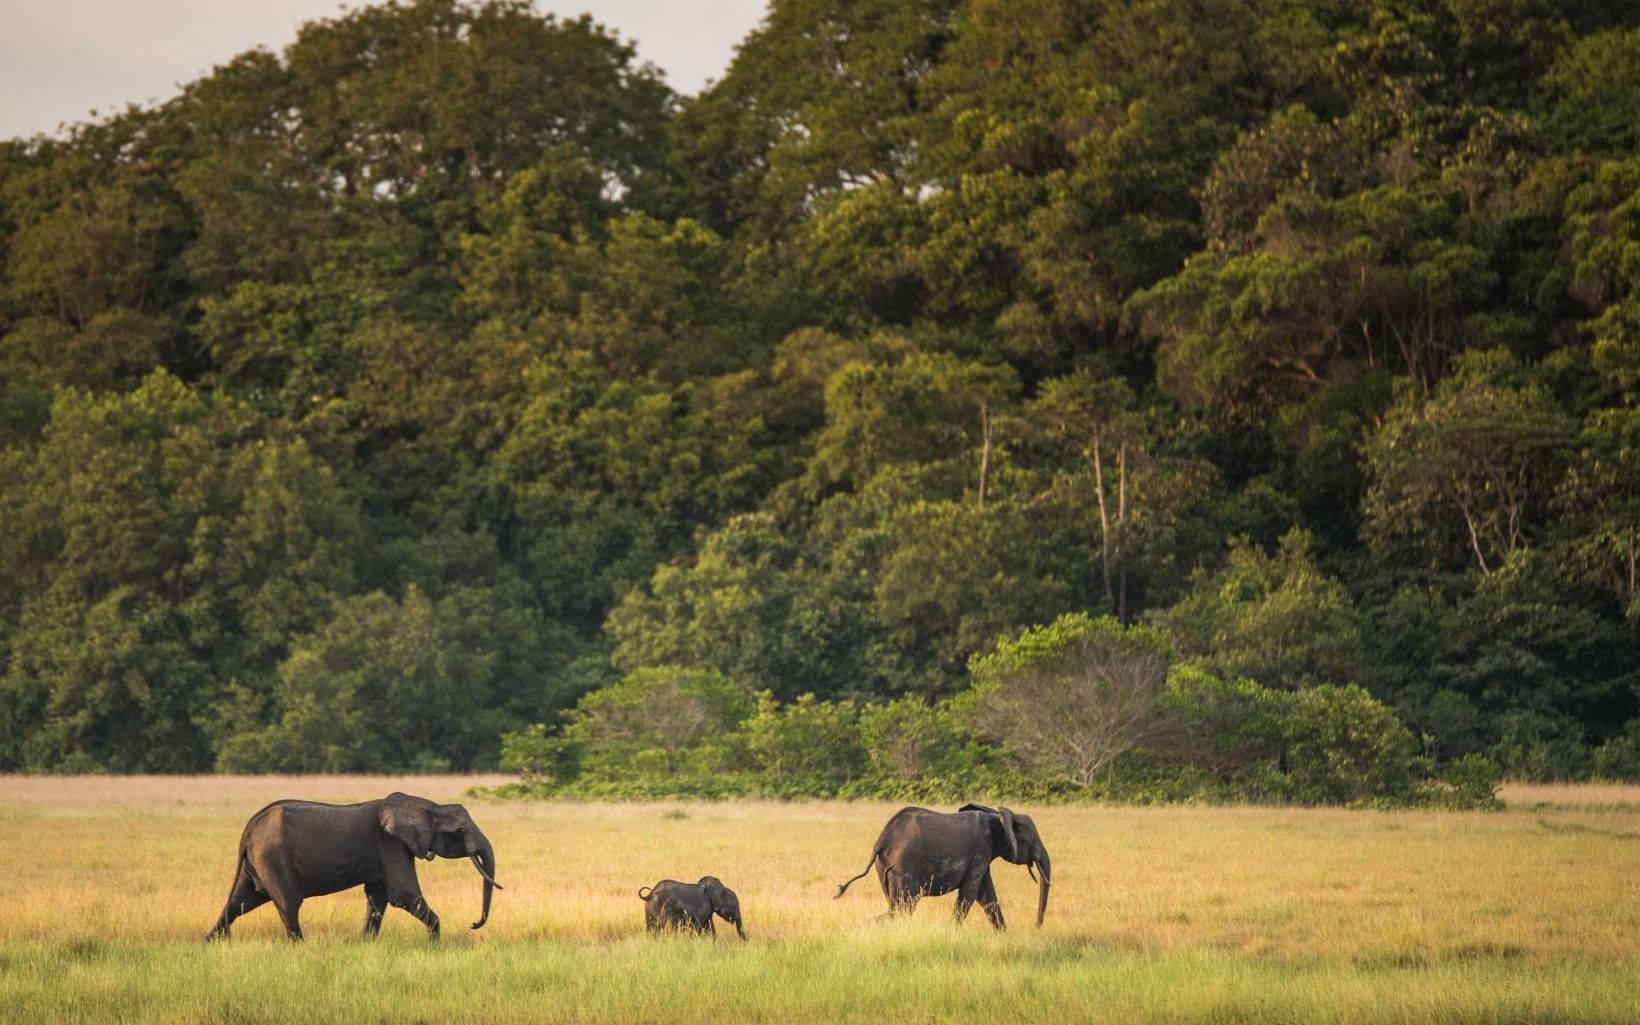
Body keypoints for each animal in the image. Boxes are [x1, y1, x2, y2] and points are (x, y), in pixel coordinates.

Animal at [205, 791, 501, 941]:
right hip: (273, 857)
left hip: (257, 861)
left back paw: (212, 941)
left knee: (240, 902)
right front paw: (434, 945)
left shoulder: (385, 852)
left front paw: (366, 943)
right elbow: (403, 895)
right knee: (288, 903)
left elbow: (378, 898)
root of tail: (249, 828)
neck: (428, 805)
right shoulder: (391, 845)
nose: (473, 924)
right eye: (459, 832)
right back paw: (300, 946)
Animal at [834, 803, 1050, 929]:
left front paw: (1003, 935)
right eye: (1033, 840)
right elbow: (969, 895)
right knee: (904, 907)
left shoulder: (983, 856)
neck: (996, 818)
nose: (1036, 926)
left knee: (896, 906)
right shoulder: (980, 852)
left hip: (885, 868)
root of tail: (881, 843)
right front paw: (953, 932)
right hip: (903, 867)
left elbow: (987, 897)